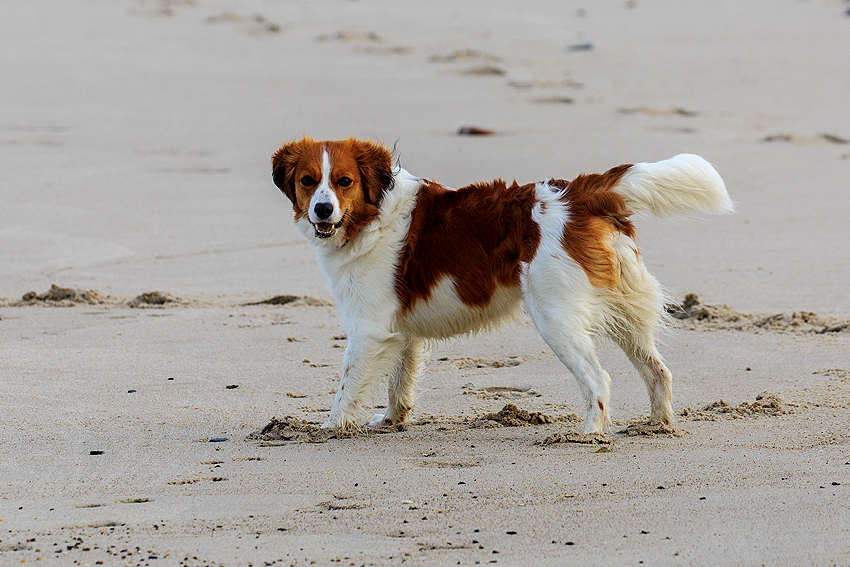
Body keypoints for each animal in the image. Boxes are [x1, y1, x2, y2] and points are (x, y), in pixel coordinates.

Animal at [272, 139, 728, 434]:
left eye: (344, 181)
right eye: (309, 180)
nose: (323, 209)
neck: (371, 217)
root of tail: (578, 193)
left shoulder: (368, 329)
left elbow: (348, 384)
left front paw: (328, 427)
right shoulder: (401, 329)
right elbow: (399, 380)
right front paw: (391, 421)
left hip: (555, 316)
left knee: (598, 379)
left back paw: (587, 433)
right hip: (625, 311)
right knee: (659, 371)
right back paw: (657, 426)